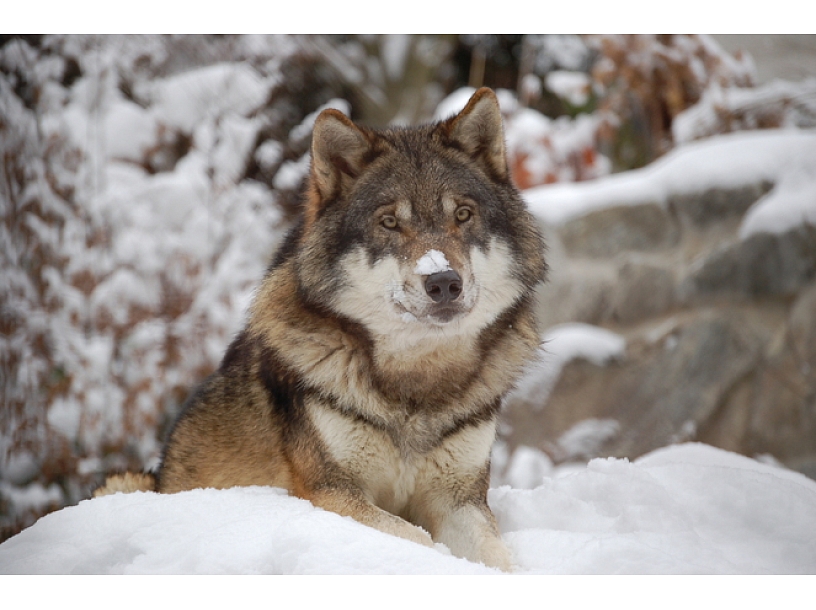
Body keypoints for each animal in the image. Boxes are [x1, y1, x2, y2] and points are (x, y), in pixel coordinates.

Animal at [95, 86, 544, 568]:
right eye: (389, 222)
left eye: (462, 214)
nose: (443, 281)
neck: (415, 386)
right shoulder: (329, 493)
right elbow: (418, 539)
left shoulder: (460, 500)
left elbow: (500, 558)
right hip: (124, 482)